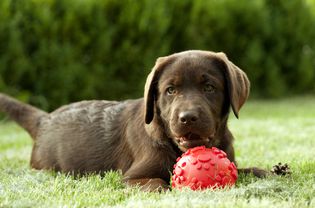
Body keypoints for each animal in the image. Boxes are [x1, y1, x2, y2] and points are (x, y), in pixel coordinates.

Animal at [0, 50, 268, 192]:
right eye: (170, 90)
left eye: (209, 87)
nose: (188, 117)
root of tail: (44, 119)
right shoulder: (130, 177)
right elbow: (158, 182)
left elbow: (249, 170)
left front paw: (268, 172)